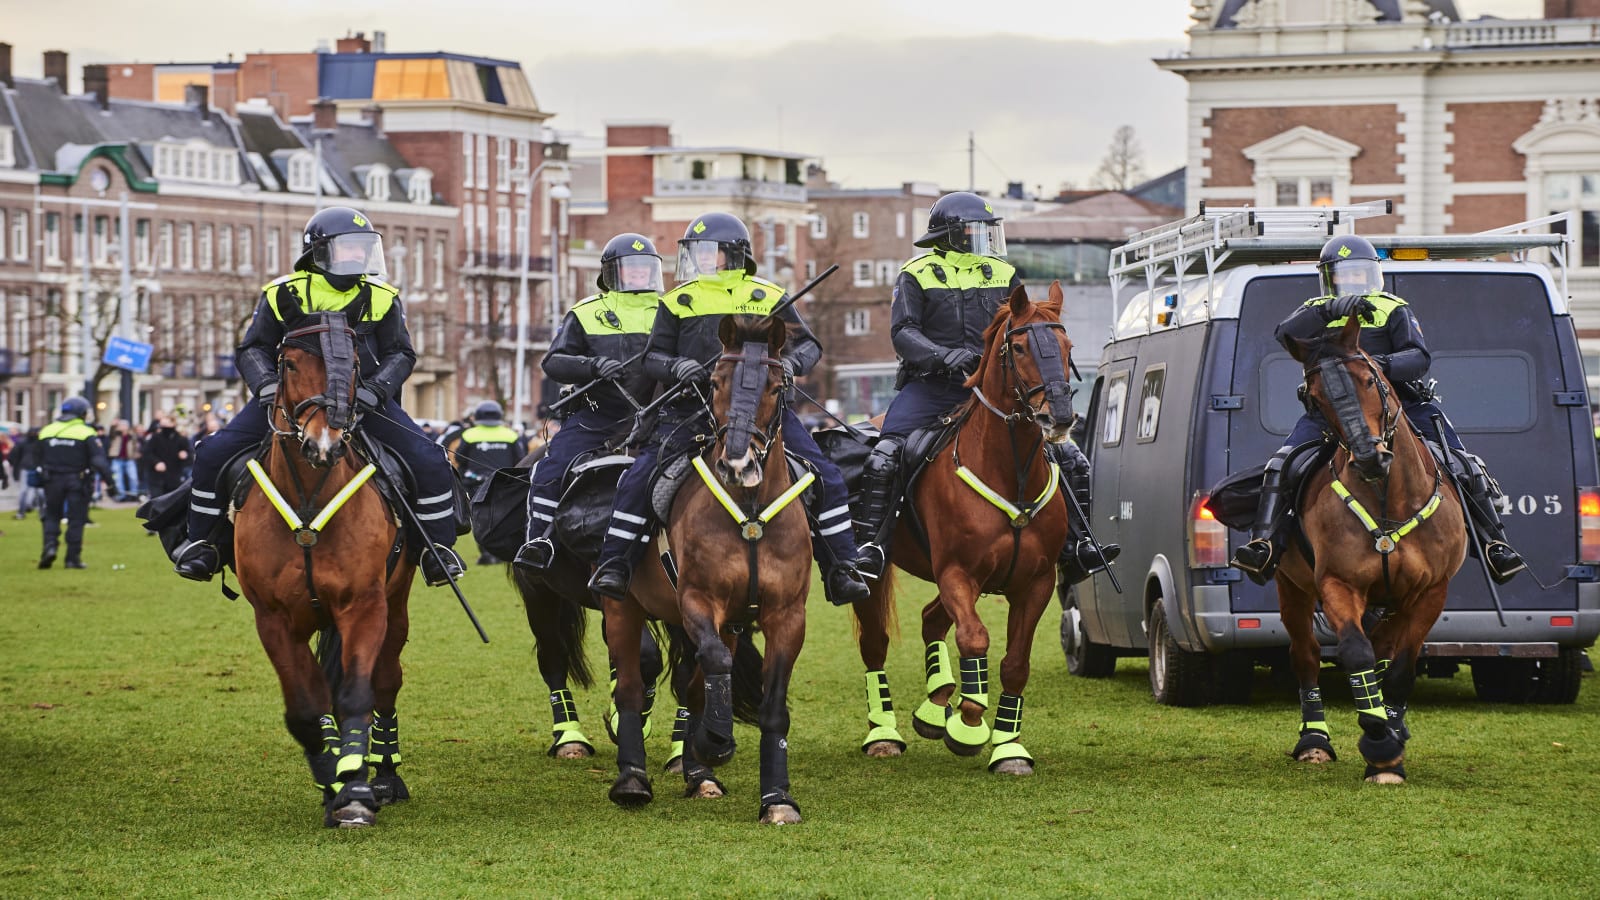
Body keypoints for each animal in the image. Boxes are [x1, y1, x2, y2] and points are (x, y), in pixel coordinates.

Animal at [234, 309, 416, 827]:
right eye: (291, 363)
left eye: (353, 363)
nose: (324, 443)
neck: (308, 501)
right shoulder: (273, 618)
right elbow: (305, 710)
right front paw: (332, 779)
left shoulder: (363, 606)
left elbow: (357, 693)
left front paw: (355, 790)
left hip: (395, 606)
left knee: (385, 682)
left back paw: (384, 776)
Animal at [603, 313, 810, 824]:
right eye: (715, 381)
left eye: (776, 386)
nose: (737, 464)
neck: (751, 513)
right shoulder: (698, 600)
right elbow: (714, 663)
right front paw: (715, 741)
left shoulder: (786, 616)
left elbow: (771, 705)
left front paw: (777, 798)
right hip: (622, 610)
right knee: (631, 690)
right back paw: (633, 778)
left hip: (729, 625)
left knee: (694, 686)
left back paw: (700, 776)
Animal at [854, 282, 1076, 775]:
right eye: (1018, 347)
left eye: (1067, 346)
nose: (1058, 416)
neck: (1009, 472)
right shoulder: (958, 573)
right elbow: (974, 637)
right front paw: (969, 725)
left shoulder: (1034, 583)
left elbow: (1015, 663)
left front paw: (1009, 748)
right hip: (870, 575)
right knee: (876, 644)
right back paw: (885, 734)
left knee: (930, 619)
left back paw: (935, 706)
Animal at [1276, 312, 1466, 783]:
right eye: (1316, 397)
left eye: (1368, 378)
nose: (1369, 458)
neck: (1387, 501)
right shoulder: (1338, 584)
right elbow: (1356, 652)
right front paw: (1379, 744)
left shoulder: (1430, 593)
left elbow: (1400, 668)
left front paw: (1390, 750)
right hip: (1293, 588)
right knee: (1306, 654)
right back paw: (1315, 740)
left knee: (1385, 652)